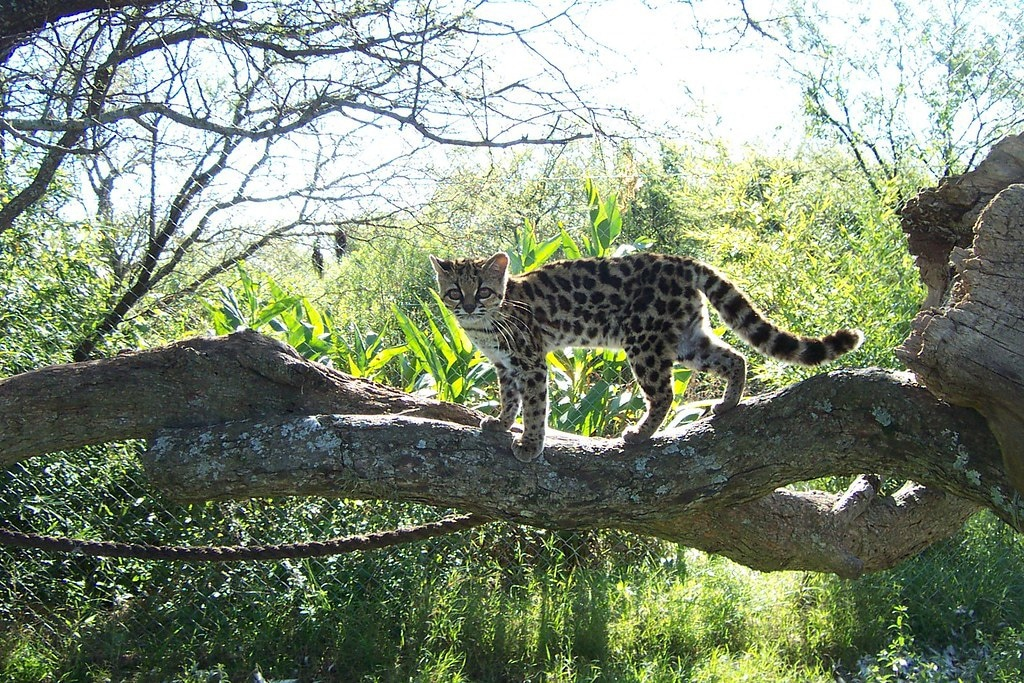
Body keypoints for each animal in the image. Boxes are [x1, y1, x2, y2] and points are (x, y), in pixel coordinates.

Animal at [428, 252, 860, 464]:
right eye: (454, 292)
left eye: (483, 291)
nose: (468, 307)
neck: (484, 326)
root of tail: (681, 261)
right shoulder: (505, 365)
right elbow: (509, 398)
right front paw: (501, 423)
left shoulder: (531, 361)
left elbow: (535, 406)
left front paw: (531, 445)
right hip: (687, 339)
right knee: (735, 357)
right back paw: (726, 404)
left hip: (643, 342)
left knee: (664, 394)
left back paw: (640, 434)